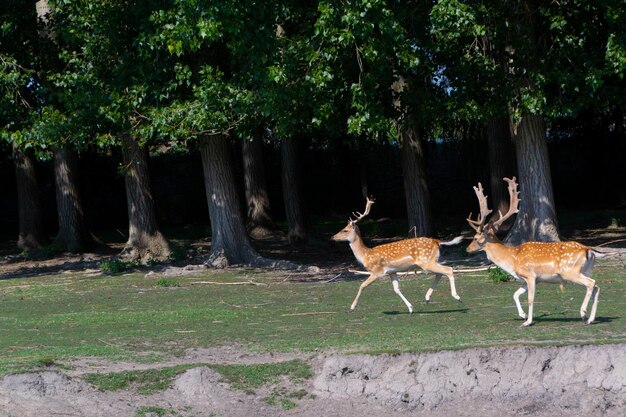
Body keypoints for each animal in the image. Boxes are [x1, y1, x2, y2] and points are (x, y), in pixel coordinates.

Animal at [332, 196, 464, 312]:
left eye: (345, 230)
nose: (333, 237)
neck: (365, 255)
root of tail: (437, 241)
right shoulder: (392, 271)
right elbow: (396, 289)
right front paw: (410, 308)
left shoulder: (377, 271)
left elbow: (362, 285)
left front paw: (351, 307)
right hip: (431, 261)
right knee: (440, 273)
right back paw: (427, 298)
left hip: (426, 261)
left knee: (448, 269)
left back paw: (457, 297)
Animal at [466, 176, 604, 324]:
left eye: (475, 238)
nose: (467, 249)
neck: (512, 260)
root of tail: (588, 250)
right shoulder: (526, 279)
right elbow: (515, 295)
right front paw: (523, 315)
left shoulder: (530, 275)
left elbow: (530, 299)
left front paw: (528, 321)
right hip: (586, 270)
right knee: (596, 287)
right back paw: (590, 319)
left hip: (570, 271)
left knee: (591, 283)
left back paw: (583, 313)